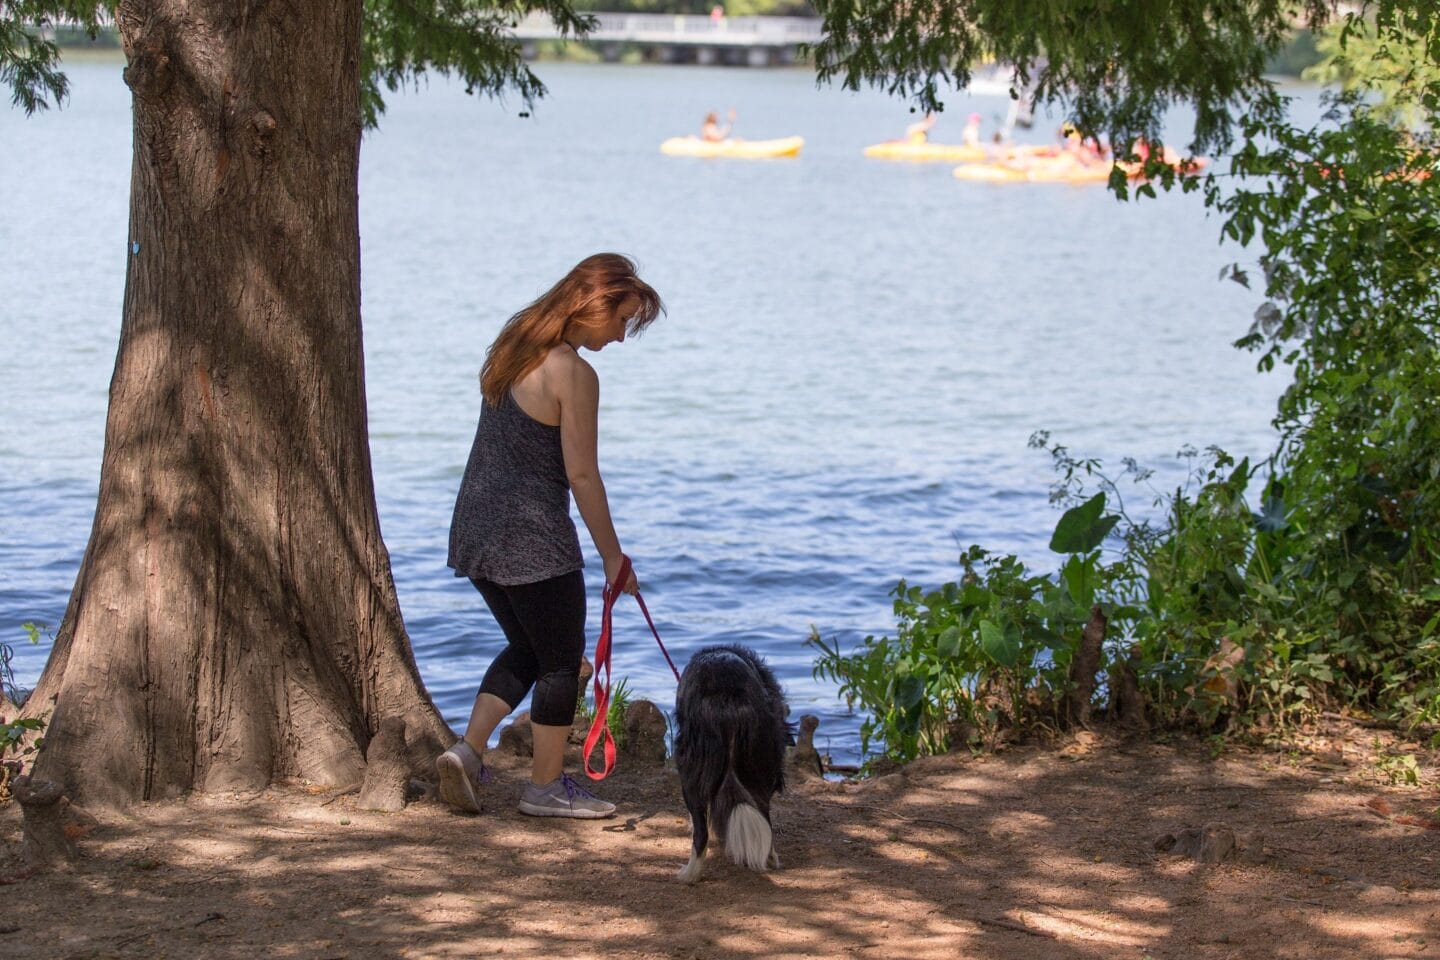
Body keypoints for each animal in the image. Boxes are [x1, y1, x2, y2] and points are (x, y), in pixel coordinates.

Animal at [671, 644, 789, 886]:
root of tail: (728, 700)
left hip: (690, 765)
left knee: (700, 832)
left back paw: (689, 875)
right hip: (758, 760)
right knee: (764, 812)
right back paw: (770, 858)